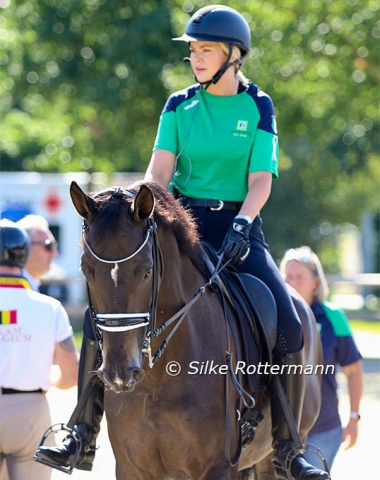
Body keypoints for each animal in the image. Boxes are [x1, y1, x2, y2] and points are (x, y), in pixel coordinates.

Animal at [70, 181, 322, 480]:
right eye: (86, 270)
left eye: (146, 271)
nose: (119, 373)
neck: (158, 380)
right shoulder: (132, 468)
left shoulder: (217, 467)